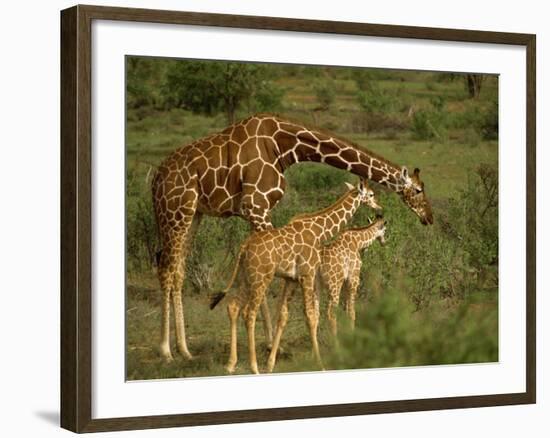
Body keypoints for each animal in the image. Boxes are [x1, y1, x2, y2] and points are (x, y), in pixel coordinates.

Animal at [211, 180, 384, 374]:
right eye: (371, 194)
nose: (379, 207)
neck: (319, 231)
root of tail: (244, 247)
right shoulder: (307, 274)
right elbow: (311, 316)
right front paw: (320, 364)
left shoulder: (291, 279)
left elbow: (284, 316)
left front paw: (271, 364)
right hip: (261, 278)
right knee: (249, 313)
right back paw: (254, 367)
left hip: (245, 277)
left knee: (233, 306)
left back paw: (231, 364)